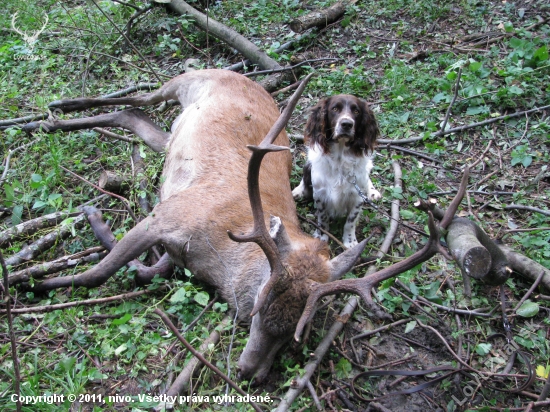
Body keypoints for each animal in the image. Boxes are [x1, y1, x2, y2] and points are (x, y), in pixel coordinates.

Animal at [294, 94, 384, 248]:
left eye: (356, 111)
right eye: (335, 109)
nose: (346, 124)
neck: (340, 159)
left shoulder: (357, 197)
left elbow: (350, 222)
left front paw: (350, 242)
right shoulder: (320, 194)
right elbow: (322, 218)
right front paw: (322, 236)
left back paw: (372, 192)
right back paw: (299, 191)